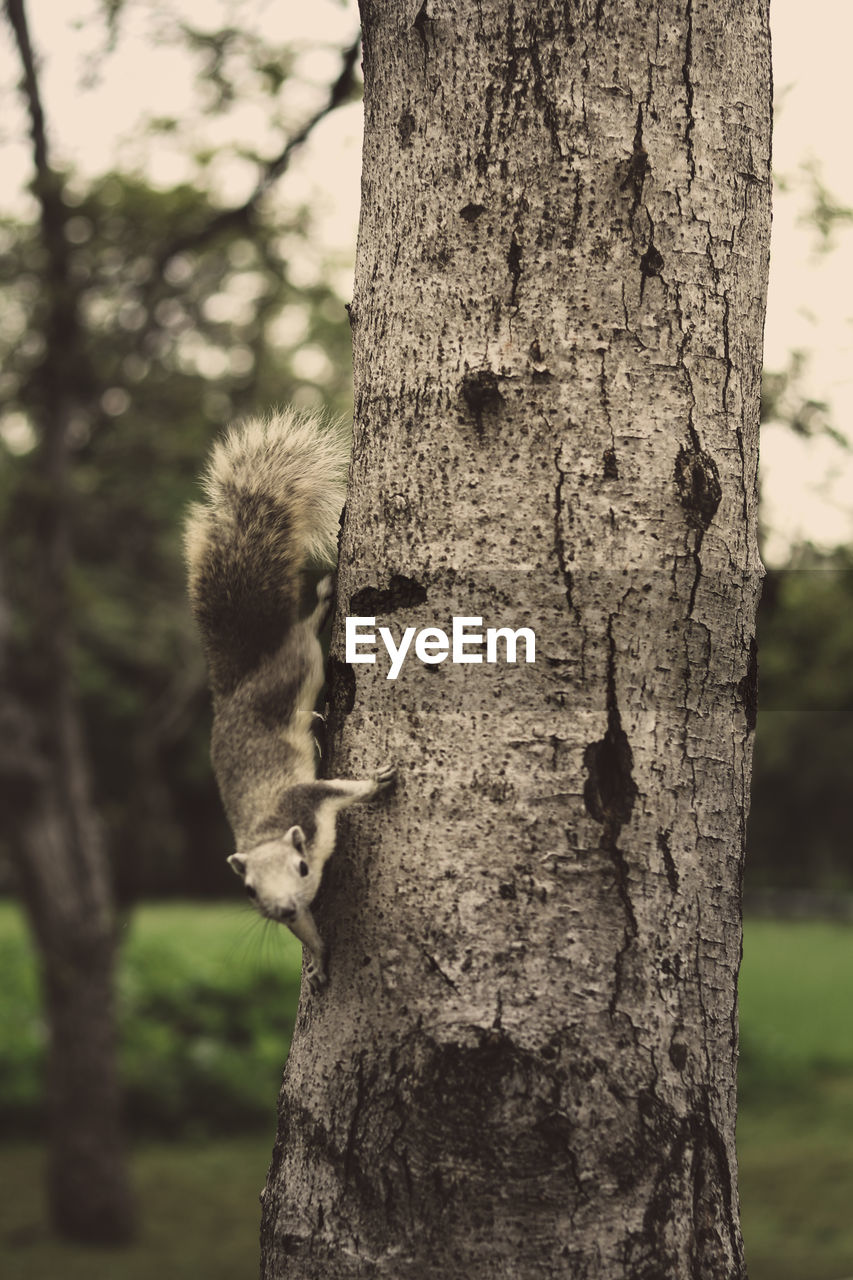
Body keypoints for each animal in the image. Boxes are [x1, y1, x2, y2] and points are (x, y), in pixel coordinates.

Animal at [184, 409, 394, 988]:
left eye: (300, 867)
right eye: (250, 891)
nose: (280, 906)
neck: (270, 834)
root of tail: (237, 686)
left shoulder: (307, 802)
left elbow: (339, 789)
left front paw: (376, 784)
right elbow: (308, 930)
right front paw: (320, 960)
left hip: (297, 666)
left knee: (304, 635)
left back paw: (322, 601)